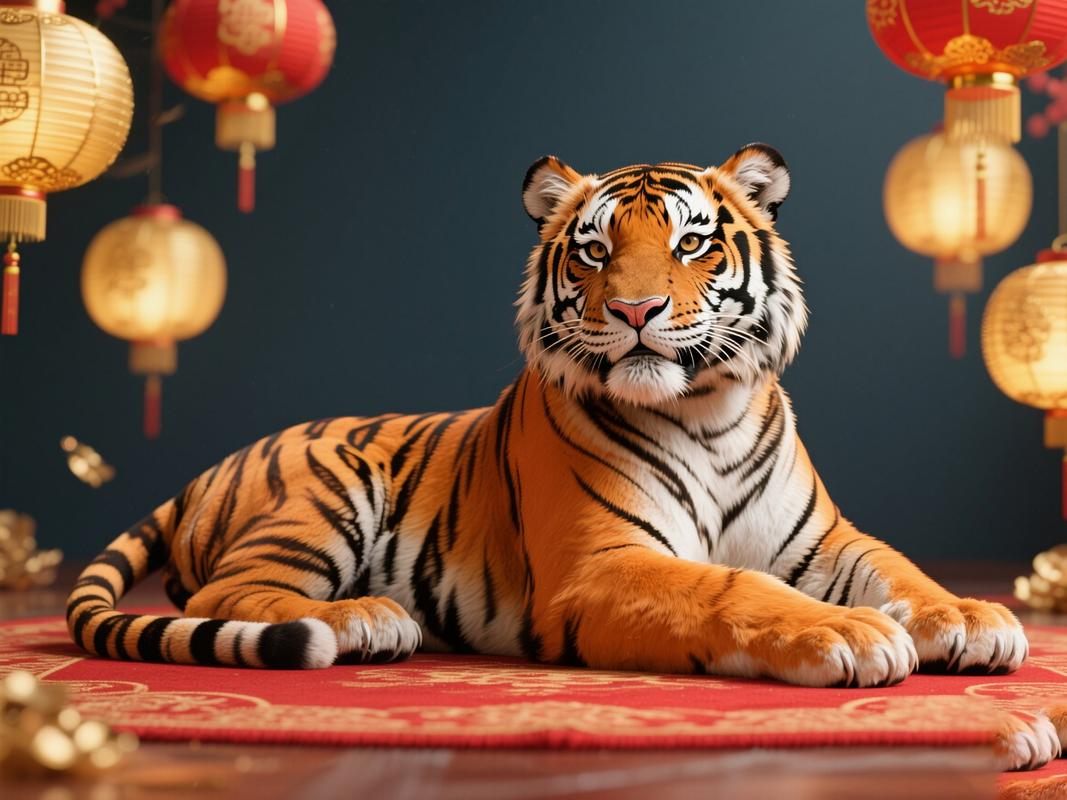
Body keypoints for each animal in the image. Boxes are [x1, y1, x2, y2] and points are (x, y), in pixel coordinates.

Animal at [68, 144, 1029, 695]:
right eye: (595, 250)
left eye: (690, 242)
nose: (636, 310)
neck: (707, 411)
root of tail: (207, 469)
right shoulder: (601, 564)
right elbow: (729, 588)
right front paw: (843, 632)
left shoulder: (822, 541)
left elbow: (897, 567)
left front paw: (969, 618)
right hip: (321, 496)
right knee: (235, 594)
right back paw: (366, 620)